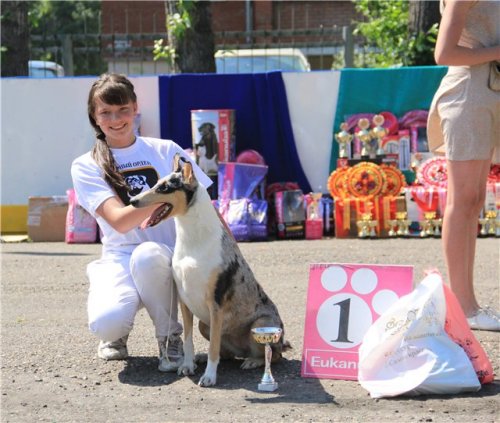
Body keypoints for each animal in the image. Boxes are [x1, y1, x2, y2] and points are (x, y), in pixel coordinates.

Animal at [130, 155, 290, 388]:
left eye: (164, 188)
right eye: (156, 183)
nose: (132, 201)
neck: (193, 240)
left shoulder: (216, 304)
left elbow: (214, 346)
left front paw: (209, 377)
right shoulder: (185, 301)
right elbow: (188, 341)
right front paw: (188, 365)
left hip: (261, 324)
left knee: (274, 355)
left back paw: (252, 361)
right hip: (204, 325)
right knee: (228, 354)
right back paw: (204, 358)